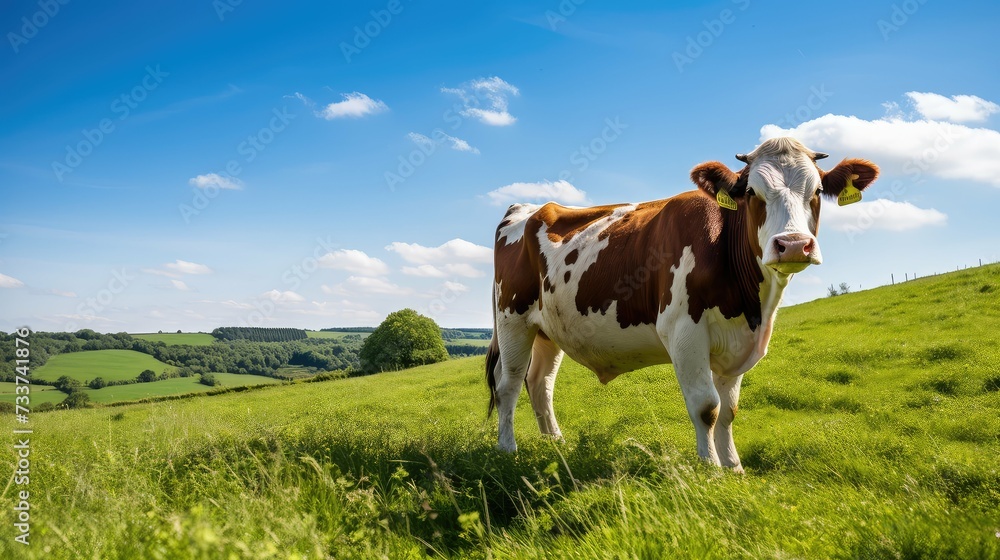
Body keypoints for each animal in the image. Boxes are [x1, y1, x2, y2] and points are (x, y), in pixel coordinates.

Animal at [488, 138, 880, 470]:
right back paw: (507, 450)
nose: (794, 244)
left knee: (540, 384)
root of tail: (527, 207)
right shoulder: (684, 332)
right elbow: (707, 408)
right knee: (508, 383)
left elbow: (729, 411)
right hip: (512, 320)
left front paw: (733, 467)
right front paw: (711, 471)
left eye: (817, 192)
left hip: (547, 330)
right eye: (751, 192)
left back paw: (556, 445)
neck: (753, 307)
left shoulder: (739, 341)